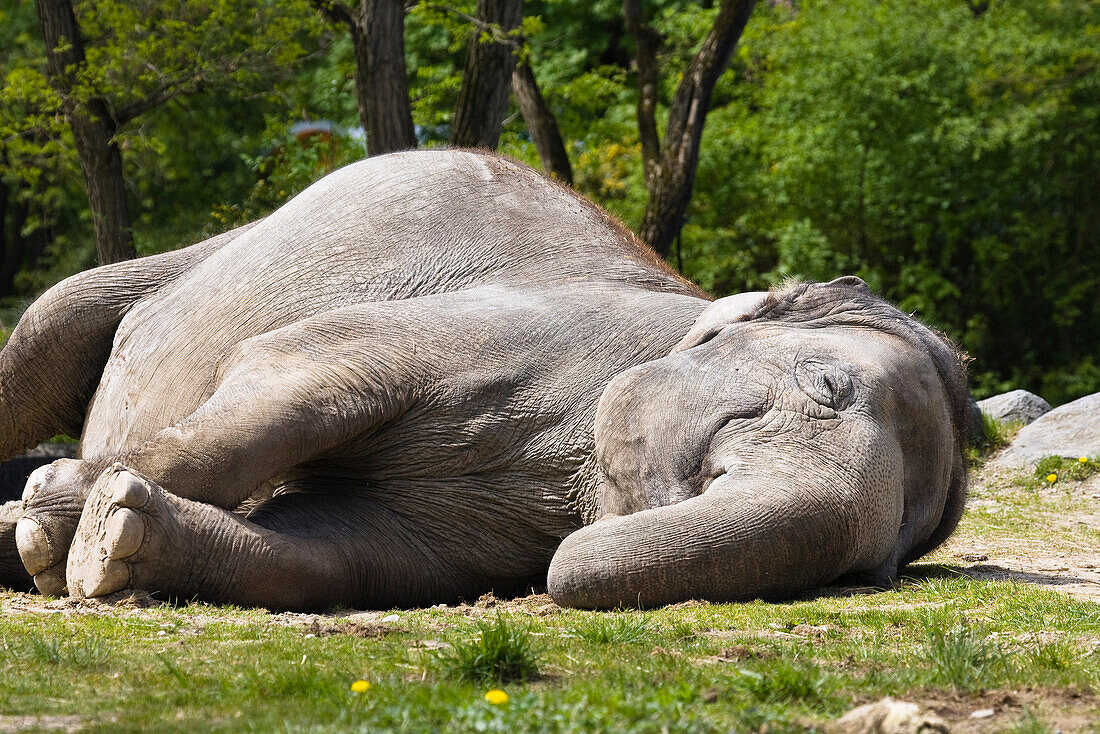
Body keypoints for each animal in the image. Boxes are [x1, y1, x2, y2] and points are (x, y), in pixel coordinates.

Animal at [0, 147, 968, 607]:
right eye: (827, 391)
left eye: (871, 566)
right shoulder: (514, 330)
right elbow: (300, 374)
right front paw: (52, 518)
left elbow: (325, 554)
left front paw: (106, 538)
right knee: (49, 329)